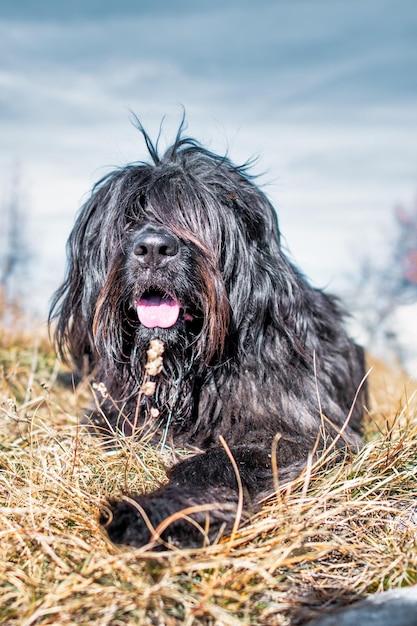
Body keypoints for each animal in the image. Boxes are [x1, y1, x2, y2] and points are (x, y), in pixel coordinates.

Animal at [50, 117, 366, 544]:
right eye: (129, 219)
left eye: (195, 216)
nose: (154, 248)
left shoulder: (303, 428)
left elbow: (217, 463)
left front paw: (152, 513)